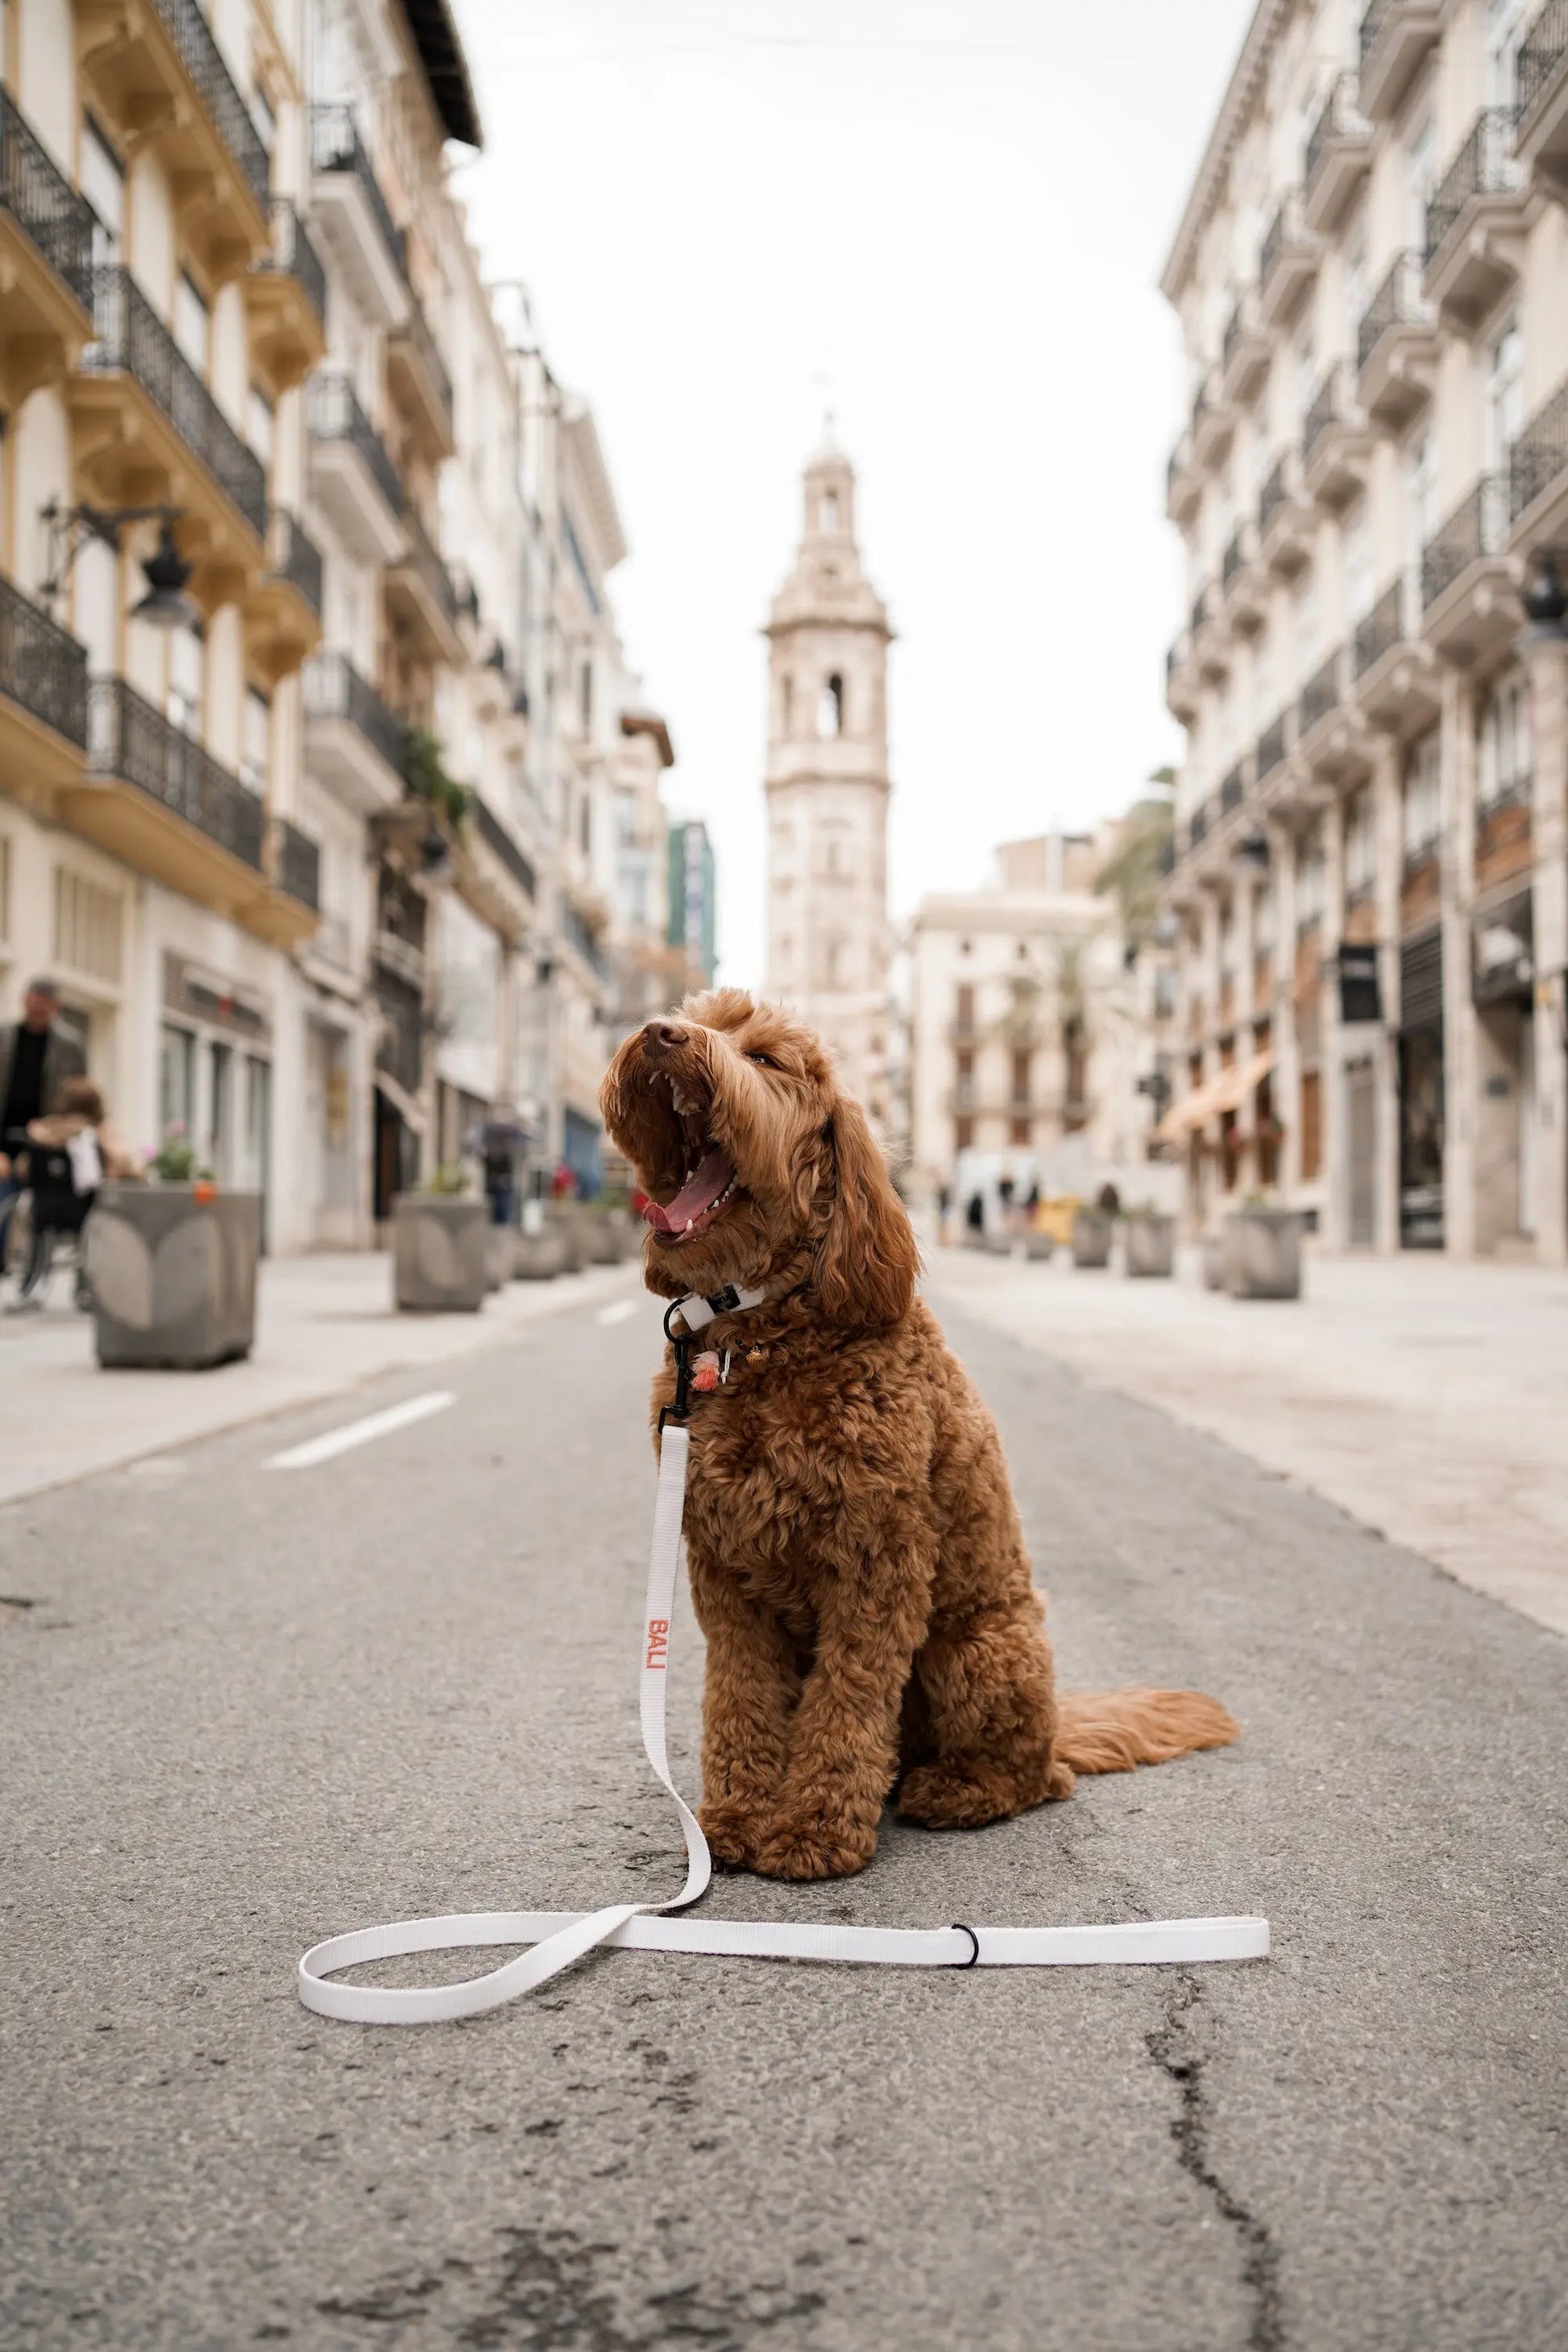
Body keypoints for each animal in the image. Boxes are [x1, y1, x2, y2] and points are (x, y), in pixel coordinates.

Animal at [601, 983, 1241, 1881]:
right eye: (698, 1020)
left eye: (764, 1058)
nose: (662, 1036)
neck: (759, 1338)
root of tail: (1059, 1723)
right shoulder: (726, 1572)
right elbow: (738, 1697)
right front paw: (732, 1819)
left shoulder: (878, 1565)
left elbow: (847, 1703)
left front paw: (812, 1829)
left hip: (976, 1652)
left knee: (1034, 1777)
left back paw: (955, 1790)